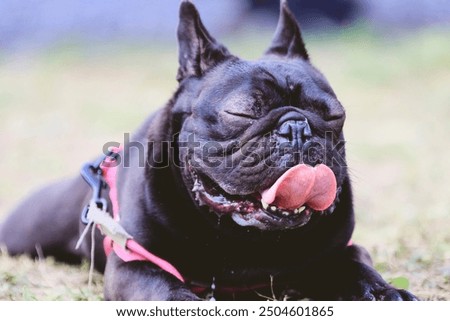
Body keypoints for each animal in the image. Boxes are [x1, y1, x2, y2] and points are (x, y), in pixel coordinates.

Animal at [0, 0, 416, 300]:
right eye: (241, 112)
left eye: (333, 115)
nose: (297, 128)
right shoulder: (135, 264)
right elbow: (166, 293)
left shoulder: (338, 250)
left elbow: (356, 265)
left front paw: (385, 292)